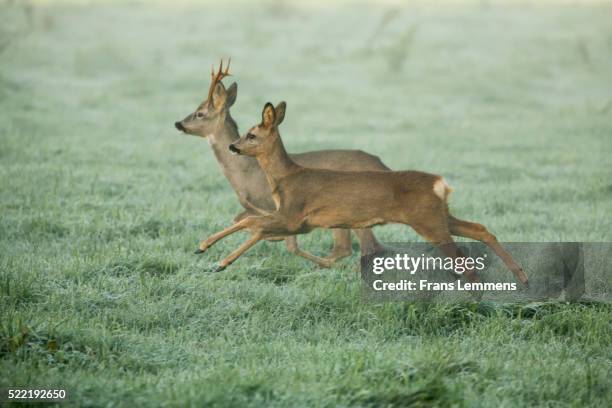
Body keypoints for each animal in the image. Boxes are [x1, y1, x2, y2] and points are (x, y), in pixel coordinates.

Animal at [175, 58, 390, 268]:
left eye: (200, 113)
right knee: (353, 248)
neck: (247, 172)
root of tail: (382, 164)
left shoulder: (278, 209)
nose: (178, 123)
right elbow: (246, 223)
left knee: (361, 247)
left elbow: (283, 240)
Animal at [194, 102, 528, 286]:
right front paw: (208, 251)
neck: (286, 179)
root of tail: (440, 183)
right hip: (440, 215)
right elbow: (253, 226)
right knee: (480, 229)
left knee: (461, 255)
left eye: (251, 135)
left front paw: (214, 257)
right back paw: (521, 277)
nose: (233, 146)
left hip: (428, 221)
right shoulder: (299, 222)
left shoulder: (294, 216)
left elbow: (252, 225)